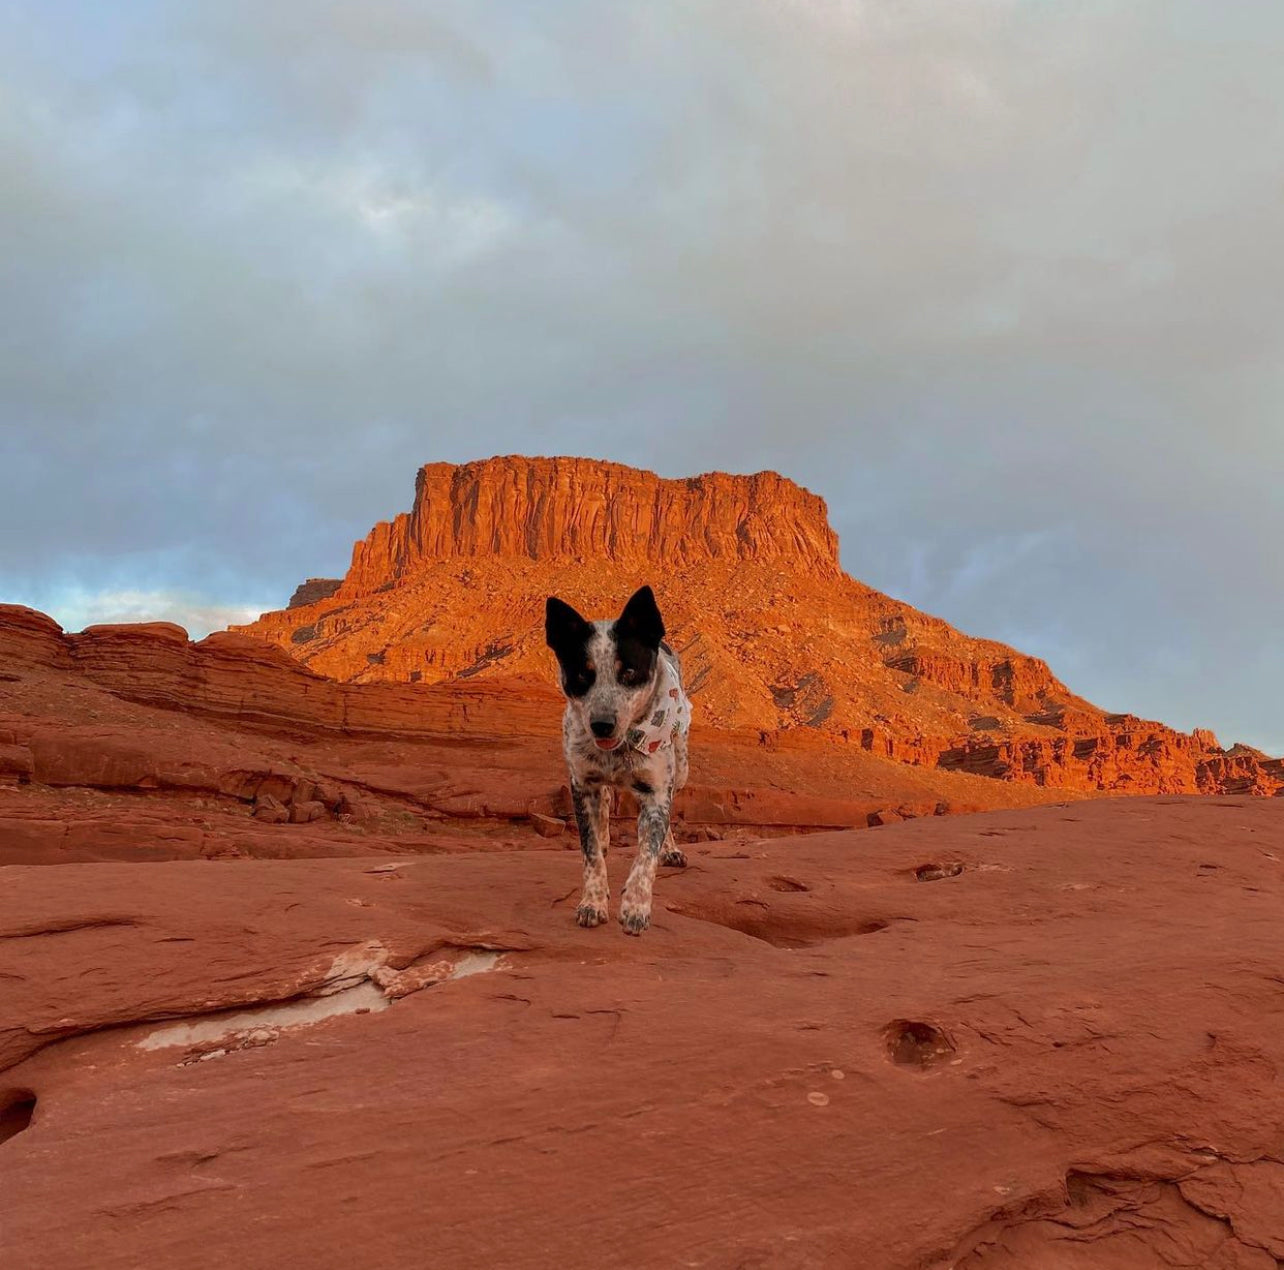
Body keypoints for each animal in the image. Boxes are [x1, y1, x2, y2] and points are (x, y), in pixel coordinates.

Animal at [546, 585, 698, 929]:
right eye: (582, 675)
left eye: (629, 672)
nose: (602, 724)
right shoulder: (582, 783)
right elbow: (590, 852)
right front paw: (592, 902)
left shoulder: (656, 790)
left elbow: (646, 853)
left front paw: (635, 906)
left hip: (680, 767)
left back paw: (671, 850)